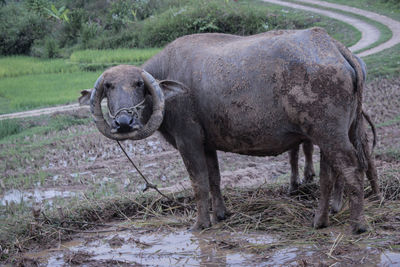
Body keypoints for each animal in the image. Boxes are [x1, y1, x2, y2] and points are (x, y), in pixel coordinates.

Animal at [83, 27, 374, 234]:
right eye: (108, 86)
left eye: (138, 84)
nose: (123, 123)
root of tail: (334, 47)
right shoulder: (207, 144)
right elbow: (214, 179)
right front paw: (220, 214)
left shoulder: (188, 141)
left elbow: (199, 183)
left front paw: (200, 223)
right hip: (335, 134)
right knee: (330, 175)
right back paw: (320, 220)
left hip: (330, 135)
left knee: (352, 168)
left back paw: (357, 224)